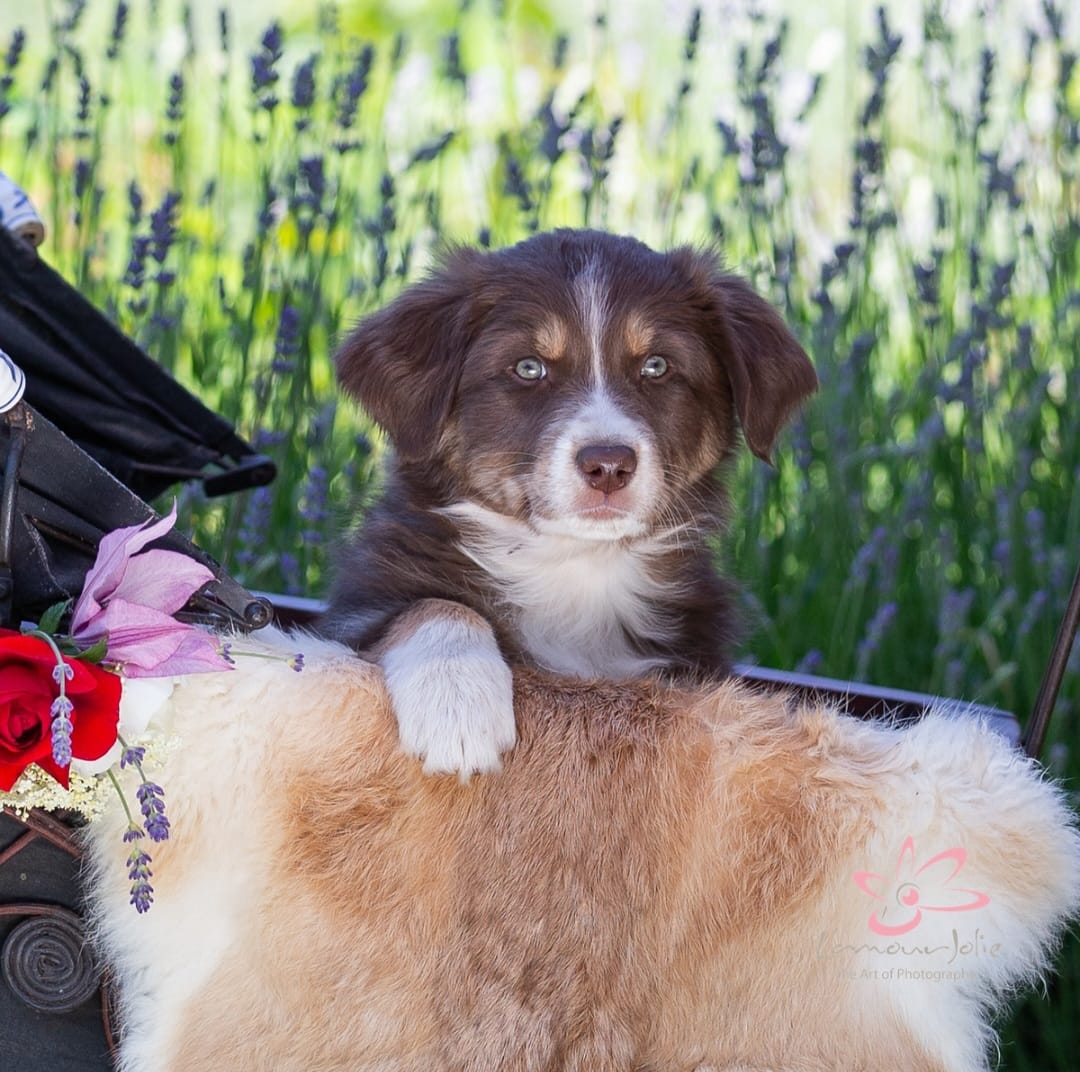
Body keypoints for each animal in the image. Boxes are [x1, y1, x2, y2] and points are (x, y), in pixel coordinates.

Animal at [320, 229, 818, 777]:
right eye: (528, 367)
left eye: (657, 366)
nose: (608, 465)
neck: (573, 563)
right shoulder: (360, 610)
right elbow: (435, 605)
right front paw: (456, 706)